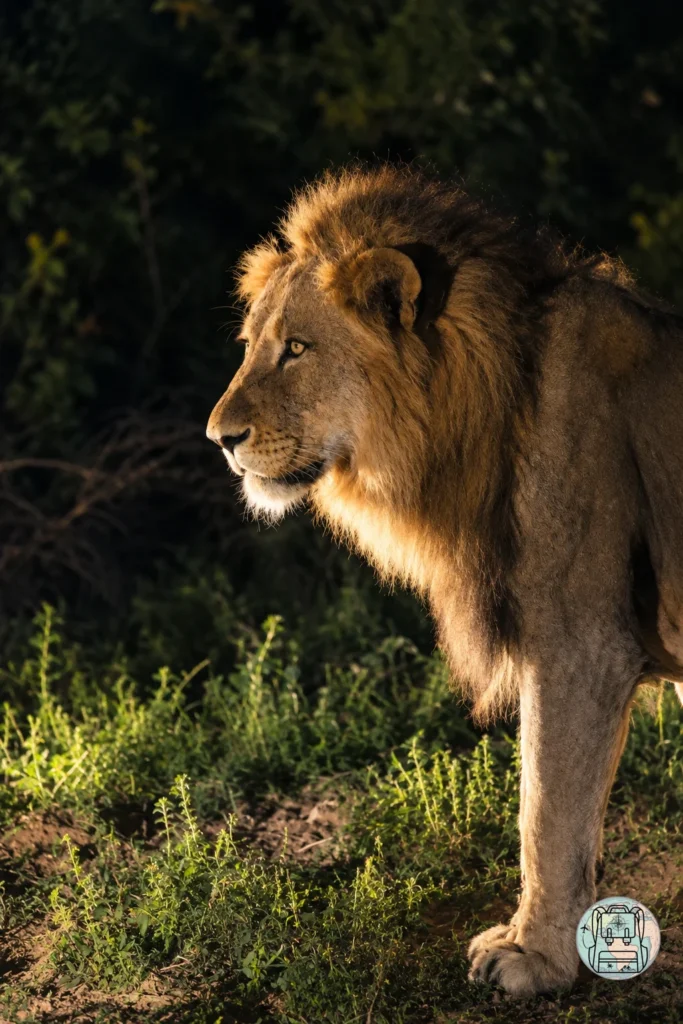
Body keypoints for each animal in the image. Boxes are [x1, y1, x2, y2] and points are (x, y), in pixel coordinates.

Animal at [206, 165, 683, 996]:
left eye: (296, 348)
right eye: (252, 346)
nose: (219, 438)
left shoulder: (578, 640)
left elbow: (546, 808)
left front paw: (534, 956)